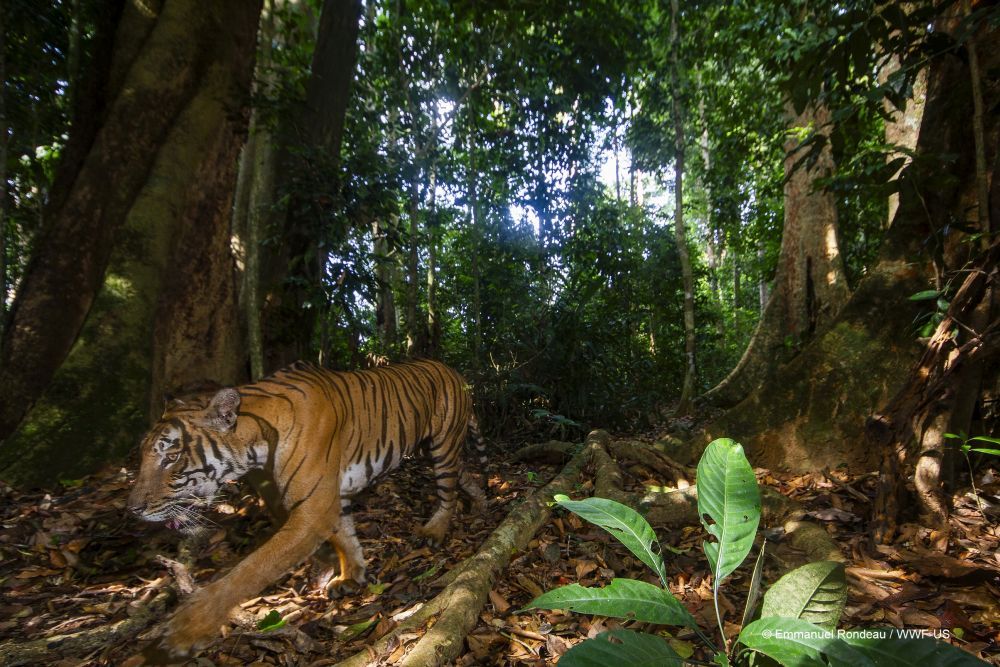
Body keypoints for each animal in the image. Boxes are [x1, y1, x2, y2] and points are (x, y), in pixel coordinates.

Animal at [127, 358, 487, 659]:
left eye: (171, 457)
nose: (133, 509)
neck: (255, 444)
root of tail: (453, 369)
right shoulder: (331, 498)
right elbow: (346, 538)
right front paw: (351, 576)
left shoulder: (313, 510)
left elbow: (250, 569)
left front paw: (187, 628)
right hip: (432, 448)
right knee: (465, 475)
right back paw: (481, 499)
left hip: (442, 446)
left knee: (448, 493)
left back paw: (436, 529)